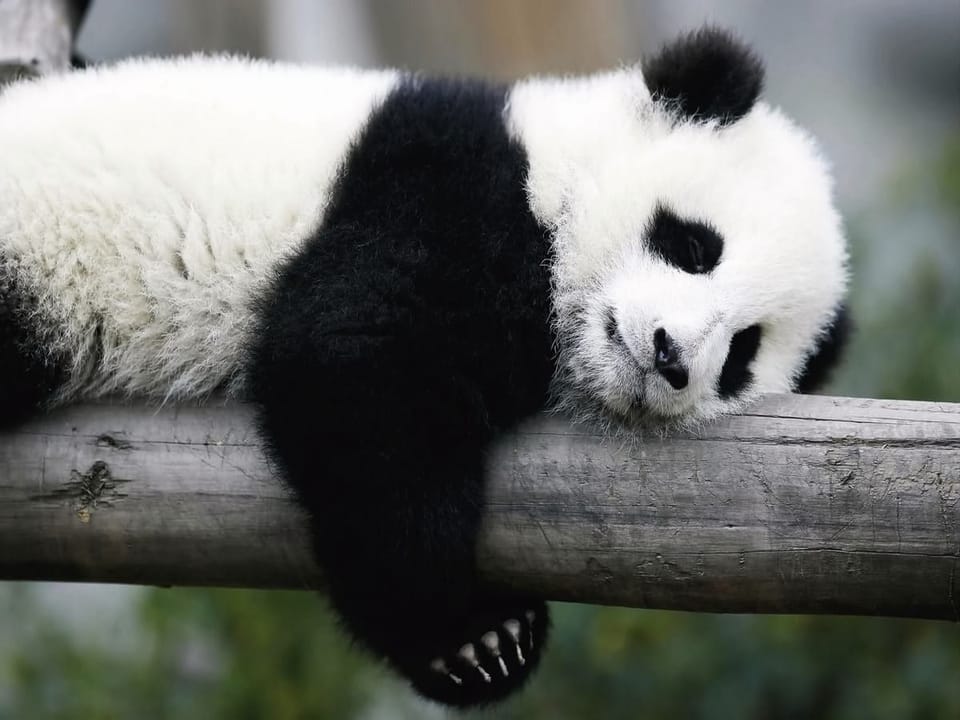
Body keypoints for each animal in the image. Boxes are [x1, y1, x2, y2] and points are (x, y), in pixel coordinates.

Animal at [0, 28, 848, 707]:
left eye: (742, 351)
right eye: (694, 245)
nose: (671, 357)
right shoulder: (445, 190)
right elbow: (355, 368)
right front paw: (473, 637)